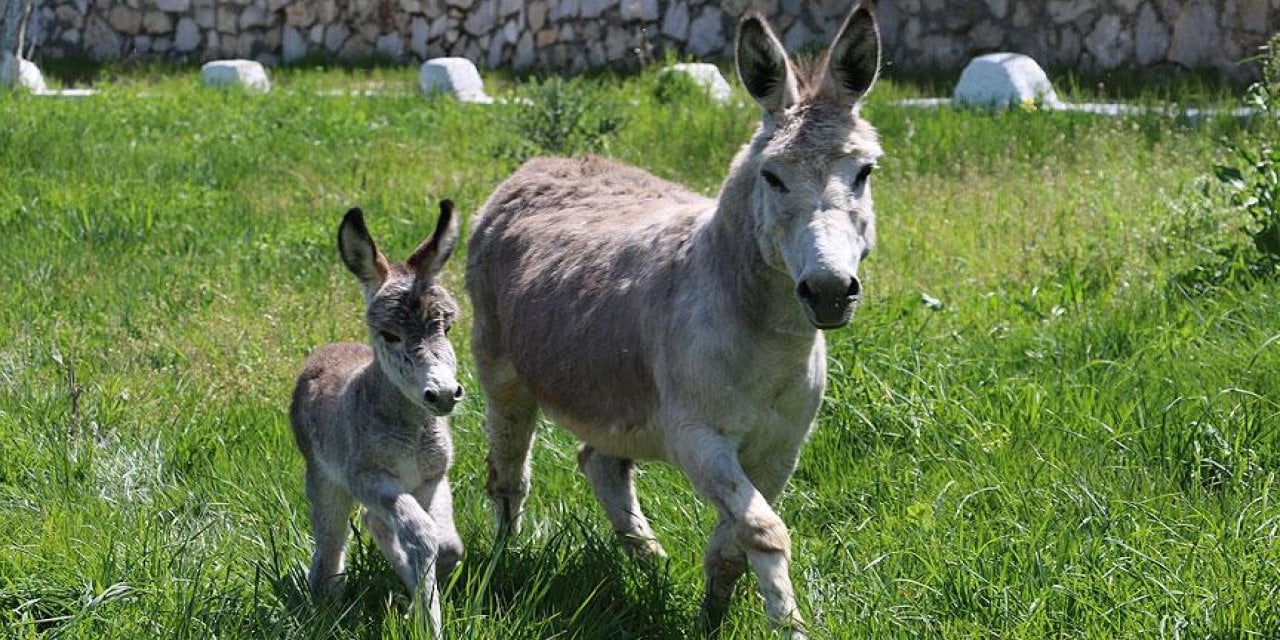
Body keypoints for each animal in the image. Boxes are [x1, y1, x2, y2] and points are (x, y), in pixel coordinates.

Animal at [290, 200, 465, 634]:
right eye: (389, 335)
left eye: (447, 327)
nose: (443, 394)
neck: (412, 426)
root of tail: (324, 352)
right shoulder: (370, 476)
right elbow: (421, 534)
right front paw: (429, 624)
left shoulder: (433, 477)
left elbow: (447, 543)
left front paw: (417, 603)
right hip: (324, 479)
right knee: (331, 540)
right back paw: (326, 599)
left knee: (375, 523)